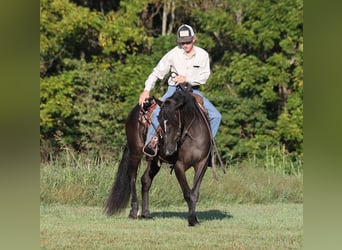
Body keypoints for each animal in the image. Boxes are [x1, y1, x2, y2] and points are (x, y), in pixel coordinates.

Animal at [104, 86, 216, 227]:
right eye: (159, 120)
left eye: (175, 120)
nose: (169, 150)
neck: (191, 136)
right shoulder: (179, 166)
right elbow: (187, 193)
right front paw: (191, 220)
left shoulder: (201, 164)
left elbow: (194, 192)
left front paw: (194, 219)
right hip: (135, 152)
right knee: (132, 177)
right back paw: (134, 211)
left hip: (154, 161)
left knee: (145, 180)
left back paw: (146, 214)